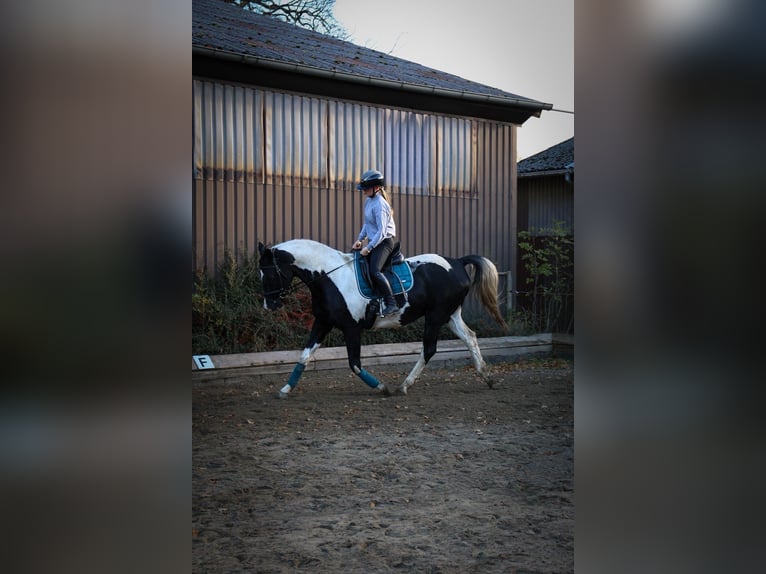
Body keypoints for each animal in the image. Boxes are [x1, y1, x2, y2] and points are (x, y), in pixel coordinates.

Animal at [257, 239, 507, 398]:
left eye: (268, 273)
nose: (269, 305)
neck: (329, 277)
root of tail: (457, 262)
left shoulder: (351, 328)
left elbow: (355, 363)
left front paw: (381, 388)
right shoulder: (323, 323)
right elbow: (304, 356)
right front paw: (285, 390)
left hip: (436, 316)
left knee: (429, 349)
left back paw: (403, 386)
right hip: (450, 315)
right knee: (470, 337)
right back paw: (486, 376)